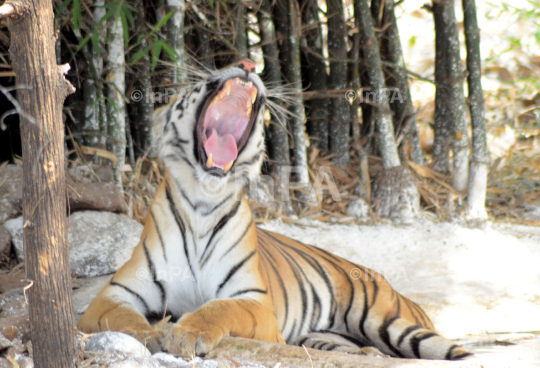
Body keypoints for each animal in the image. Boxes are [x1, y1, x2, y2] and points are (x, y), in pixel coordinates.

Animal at [78, 59, 470, 360]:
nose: (249, 64)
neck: (203, 201)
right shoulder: (114, 294)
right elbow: (122, 319)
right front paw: (148, 334)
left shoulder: (254, 302)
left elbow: (218, 307)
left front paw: (185, 333)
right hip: (321, 336)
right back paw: (366, 354)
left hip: (393, 323)